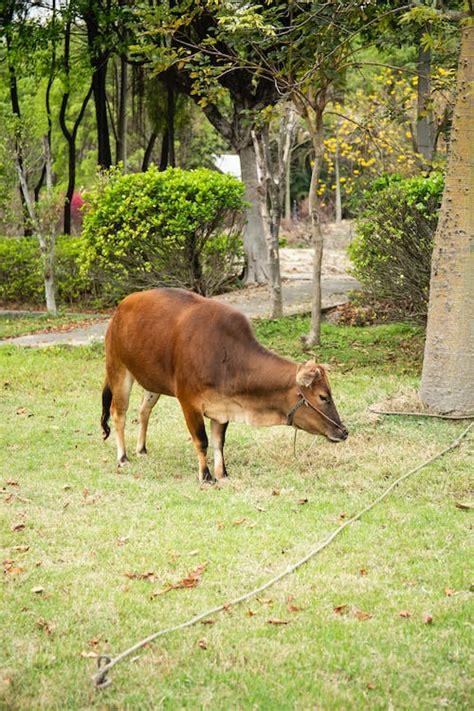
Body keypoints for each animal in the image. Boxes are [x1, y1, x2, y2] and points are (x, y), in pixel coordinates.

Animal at [101, 286, 348, 482]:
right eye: (323, 396)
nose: (343, 431)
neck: (227, 356)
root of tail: (121, 307)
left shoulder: (223, 407)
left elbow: (219, 442)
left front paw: (222, 473)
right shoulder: (189, 402)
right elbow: (202, 440)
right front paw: (206, 475)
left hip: (151, 383)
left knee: (144, 411)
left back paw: (141, 449)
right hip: (118, 370)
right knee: (118, 413)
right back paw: (123, 457)